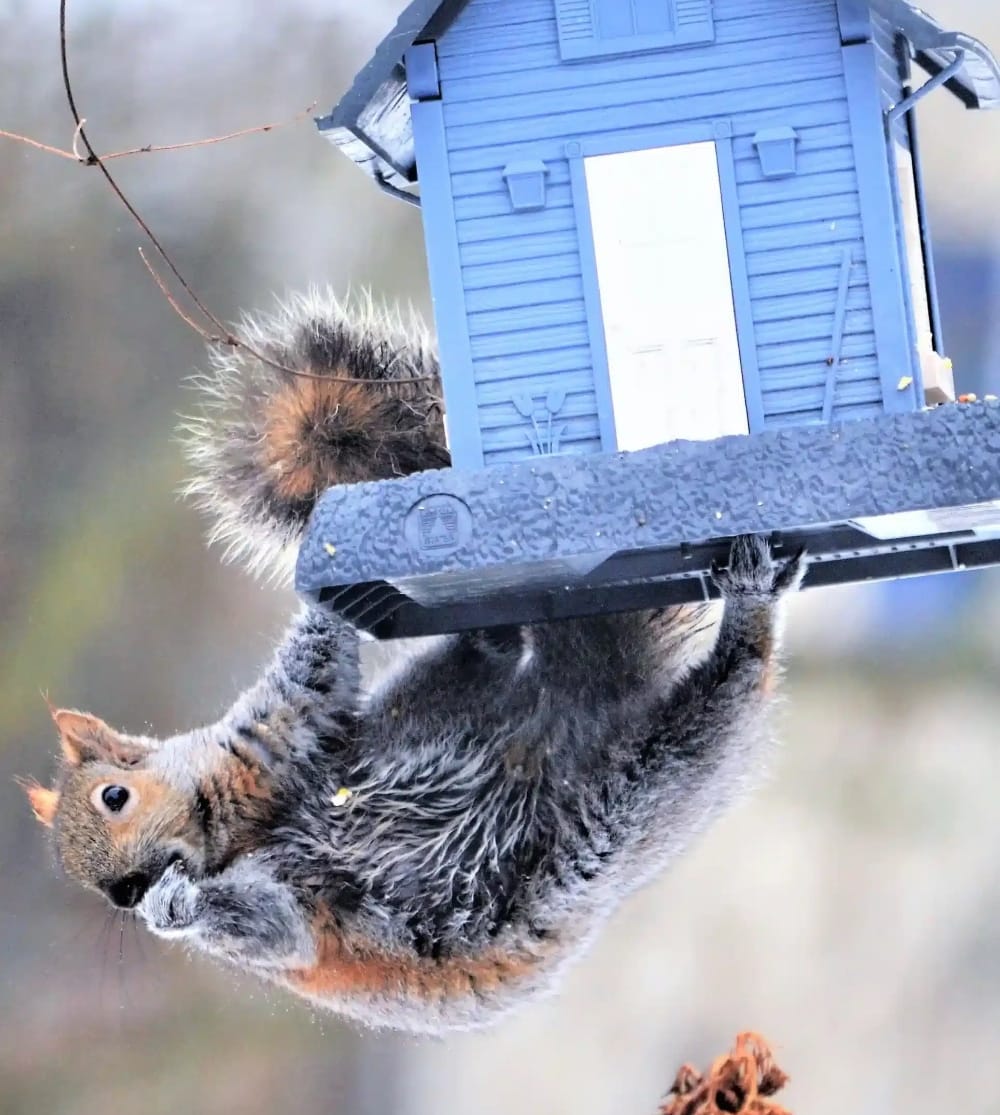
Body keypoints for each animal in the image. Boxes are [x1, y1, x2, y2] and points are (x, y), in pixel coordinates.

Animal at [21, 292, 802, 1030]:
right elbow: (276, 931)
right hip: (644, 788)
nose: (125, 893)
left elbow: (321, 668)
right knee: (730, 683)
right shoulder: (286, 918)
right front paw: (173, 910)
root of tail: (579, 700)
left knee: (500, 650)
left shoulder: (271, 734)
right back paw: (751, 600)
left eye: (113, 797)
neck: (230, 829)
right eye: (82, 878)